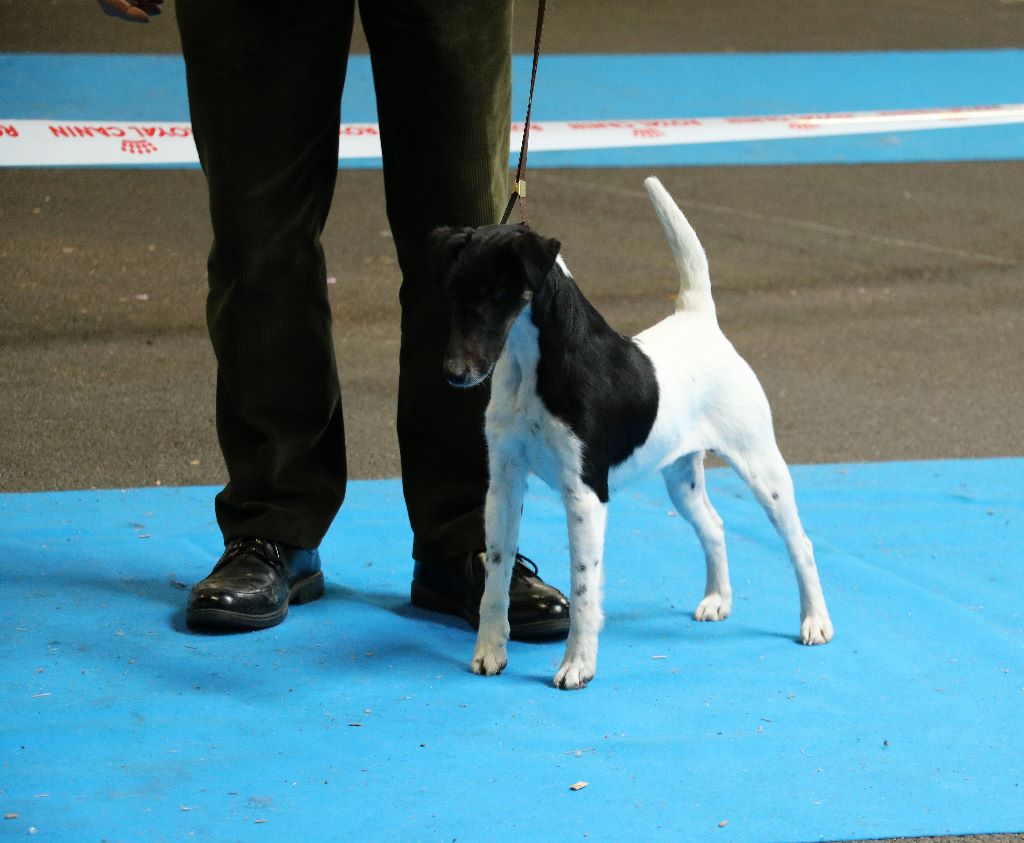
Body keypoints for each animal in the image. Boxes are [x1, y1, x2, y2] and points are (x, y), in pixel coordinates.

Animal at [432, 178, 831, 692]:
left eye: (497, 294)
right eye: (452, 293)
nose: (455, 374)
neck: (532, 367)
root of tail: (701, 321)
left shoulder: (584, 494)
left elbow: (584, 588)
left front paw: (577, 667)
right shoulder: (503, 484)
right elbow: (495, 580)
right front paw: (490, 653)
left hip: (762, 467)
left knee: (800, 544)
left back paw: (815, 622)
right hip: (681, 479)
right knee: (715, 526)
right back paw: (717, 600)